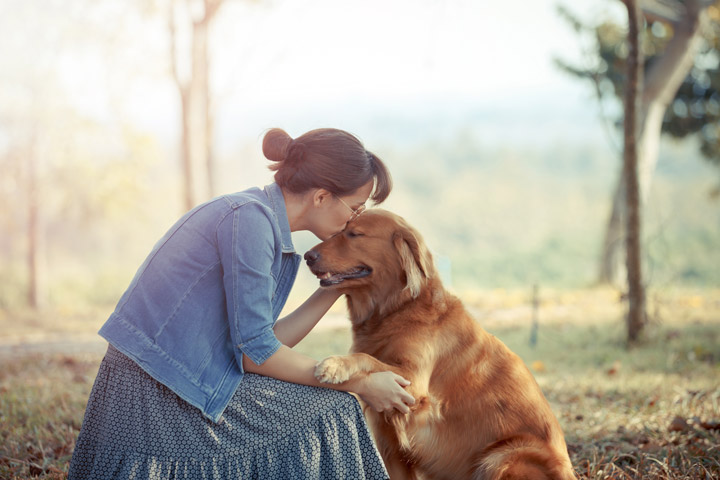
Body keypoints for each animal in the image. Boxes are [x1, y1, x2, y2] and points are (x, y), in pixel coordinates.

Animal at [306, 210, 576, 480]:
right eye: (338, 231)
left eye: (355, 234)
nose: (308, 256)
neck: (397, 309)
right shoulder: (389, 440)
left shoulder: (412, 383)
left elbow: (366, 358)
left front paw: (334, 364)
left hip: (502, 456)